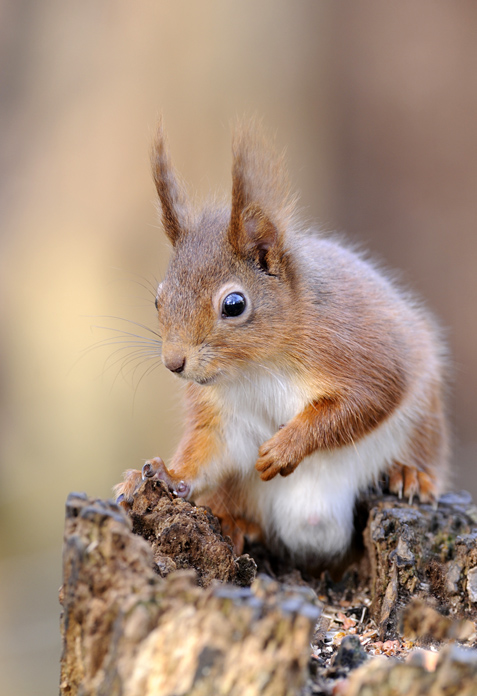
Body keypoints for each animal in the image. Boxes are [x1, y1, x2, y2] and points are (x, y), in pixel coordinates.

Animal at [115, 120, 449, 565]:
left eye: (234, 304)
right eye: (158, 298)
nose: (174, 362)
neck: (258, 366)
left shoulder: (360, 349)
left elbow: (363, 402)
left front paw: (286, 447)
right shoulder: (223, 412)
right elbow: (207, 448)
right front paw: (167, 473)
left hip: (423, 419)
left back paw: (411, 473)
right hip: (245, 492)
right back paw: (236, 523)